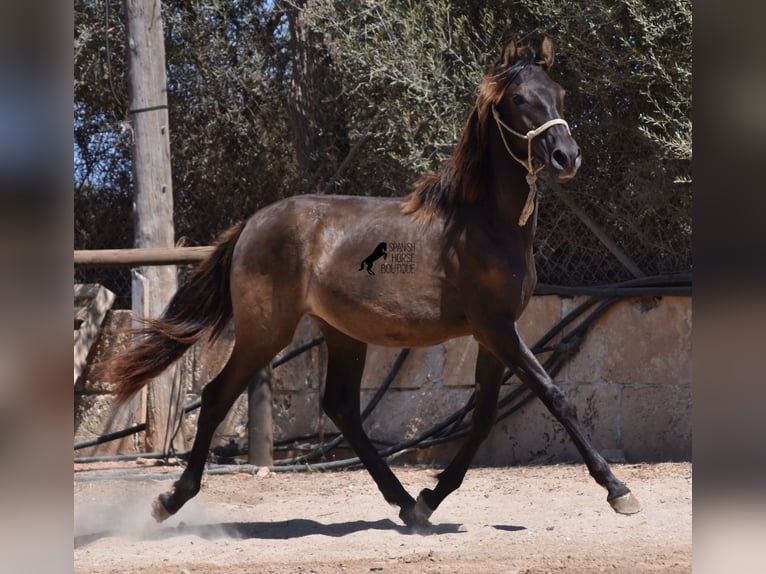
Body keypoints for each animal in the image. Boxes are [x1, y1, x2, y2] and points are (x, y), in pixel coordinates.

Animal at [106, 36, 640, 532]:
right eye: (520, 99)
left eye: (559, 94)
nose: (566, 156)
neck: (485, 224)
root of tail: (252, 223)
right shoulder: (495, 327)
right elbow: (554, 396)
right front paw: (619, 490)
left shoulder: (496, 332)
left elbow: (485, 415)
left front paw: (430, 499)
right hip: (267, 331)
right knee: (218, 396)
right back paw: (170, 500)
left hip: (342, 333)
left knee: (341, 408)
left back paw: (406, 504)